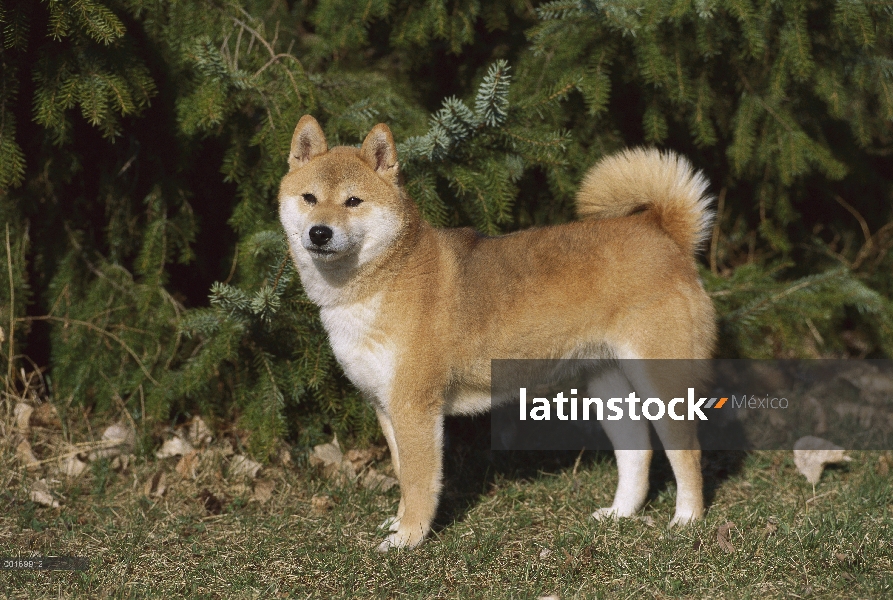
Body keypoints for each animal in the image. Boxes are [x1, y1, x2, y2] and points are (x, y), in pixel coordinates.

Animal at [280, 115, 716, 552]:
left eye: (353, 201)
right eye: (309, 198)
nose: (319, 233)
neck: (383, 280)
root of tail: (663, 233)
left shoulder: (415, 408)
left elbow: (419, 482)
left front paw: (407, 539)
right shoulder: (385, 406)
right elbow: (403, 476)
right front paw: (399, 524)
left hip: (661, 382)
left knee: (690, 455)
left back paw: (686, 521)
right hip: (607, 385)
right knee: (637, 454)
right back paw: (618, 514)